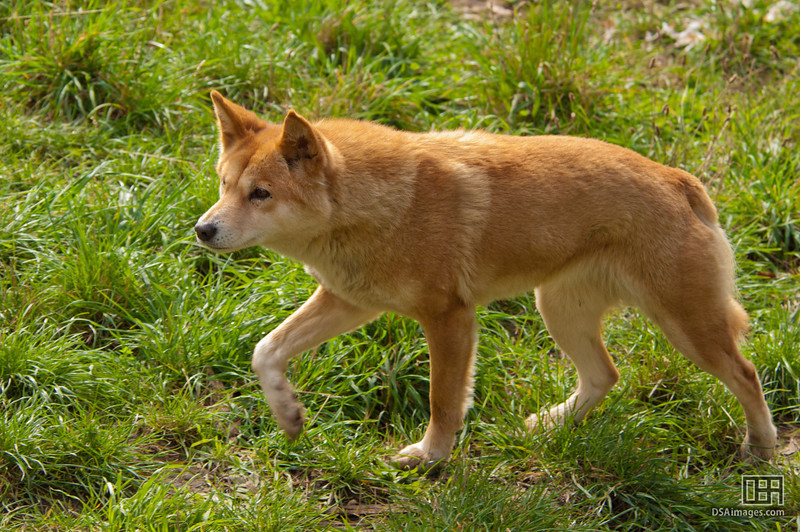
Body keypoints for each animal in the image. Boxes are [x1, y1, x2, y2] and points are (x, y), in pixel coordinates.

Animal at [194, 91, 776, 470]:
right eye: (223, 184)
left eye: (261, 194)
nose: (203, 229)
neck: (379, 203)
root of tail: (678, 180)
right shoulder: (349, 301)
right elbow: (266, 351)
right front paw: (289, 414)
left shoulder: (448, 317)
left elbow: (442, 400)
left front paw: (431, 458)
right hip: (559, 310)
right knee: (604, 375)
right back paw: (550, 425)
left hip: (686, 326)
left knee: (746, 375)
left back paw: (763, 448)